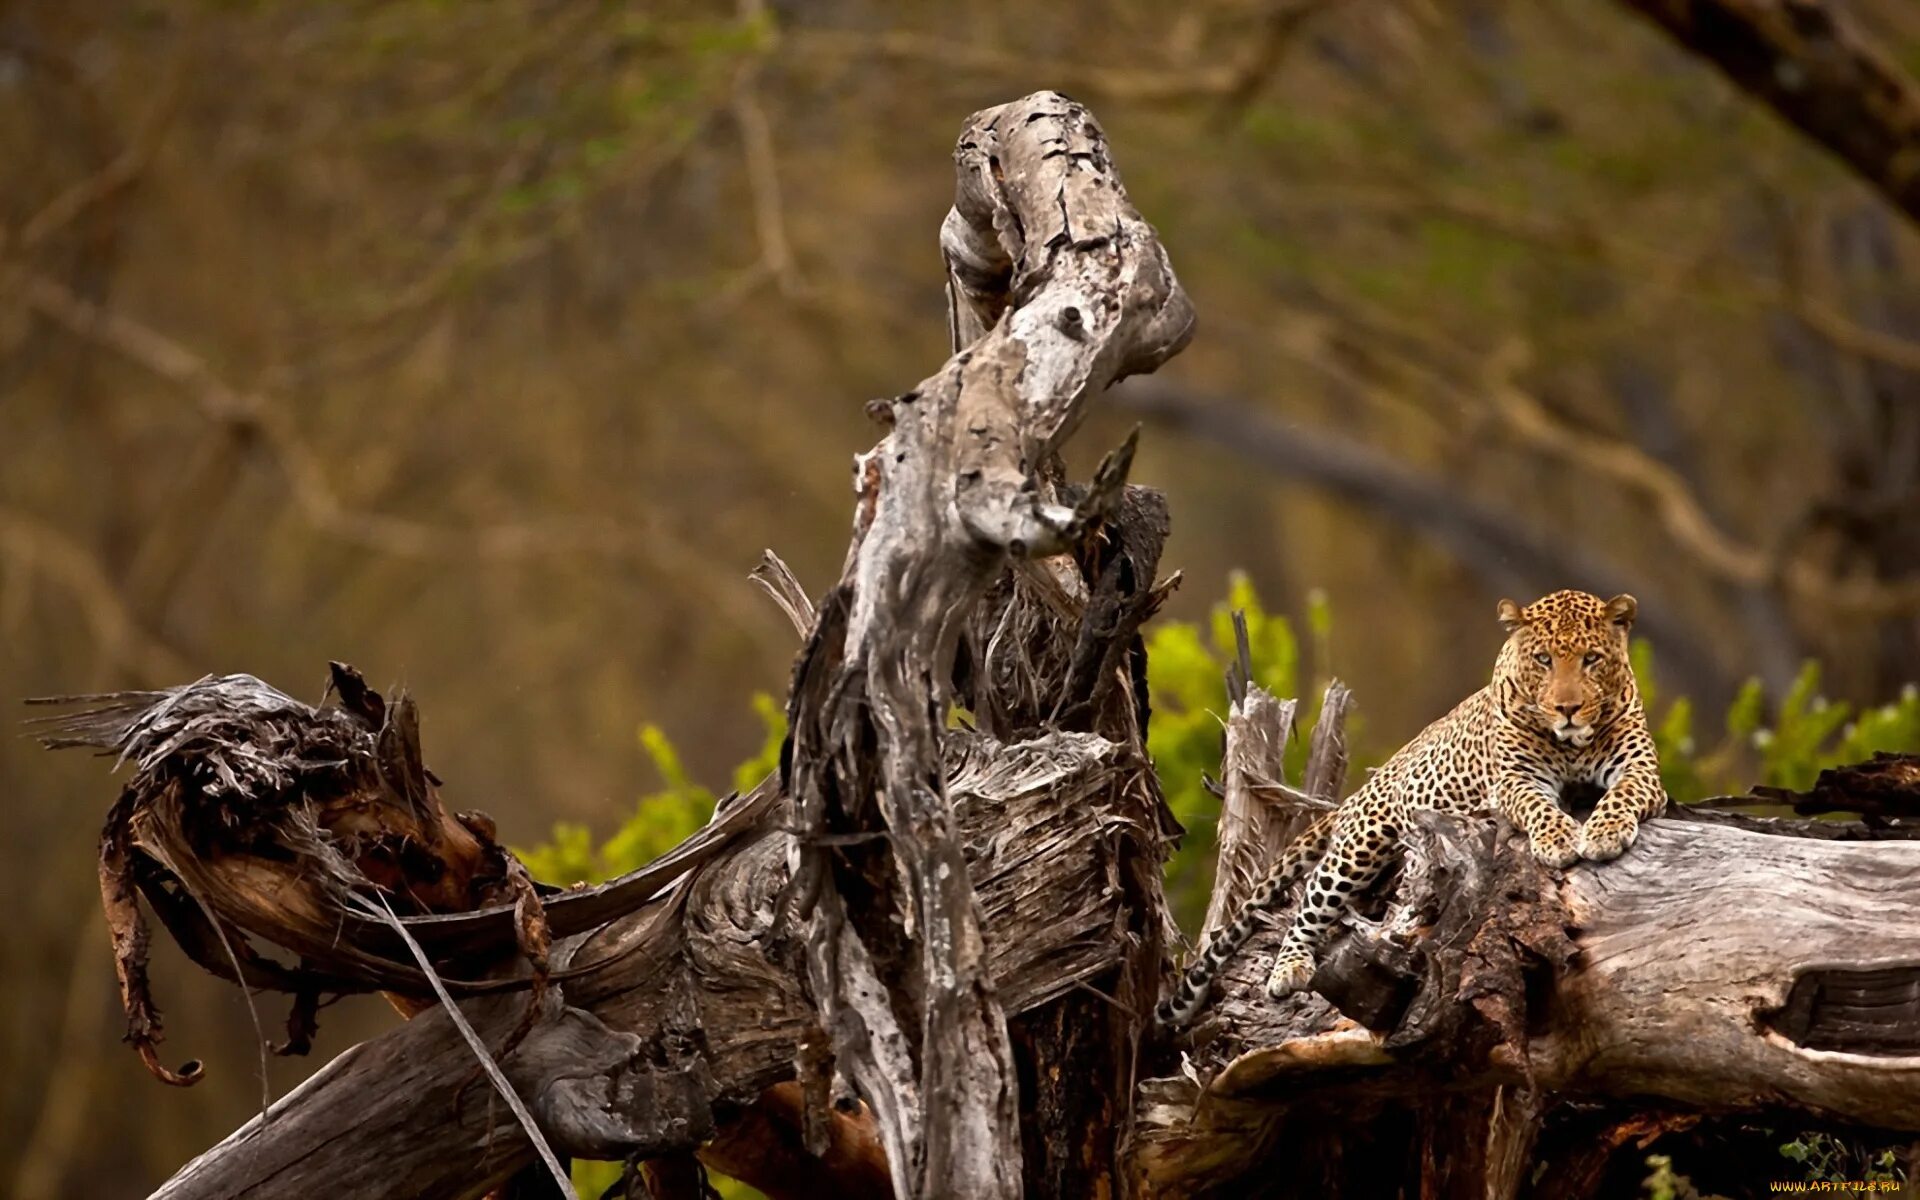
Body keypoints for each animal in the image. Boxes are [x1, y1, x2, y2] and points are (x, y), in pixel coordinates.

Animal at [1152, 583, 1666, 1021]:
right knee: (1311, 899)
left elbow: (1622, 795)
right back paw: (1289, 966)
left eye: (1591, 659)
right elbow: (1539, 806)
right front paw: (1560, 838)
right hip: (1361, 844)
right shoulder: (1514, 780)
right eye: (1543, 660)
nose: (1567, 708)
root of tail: (1363, 789)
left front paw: (1603, 831)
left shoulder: (1641, 770)